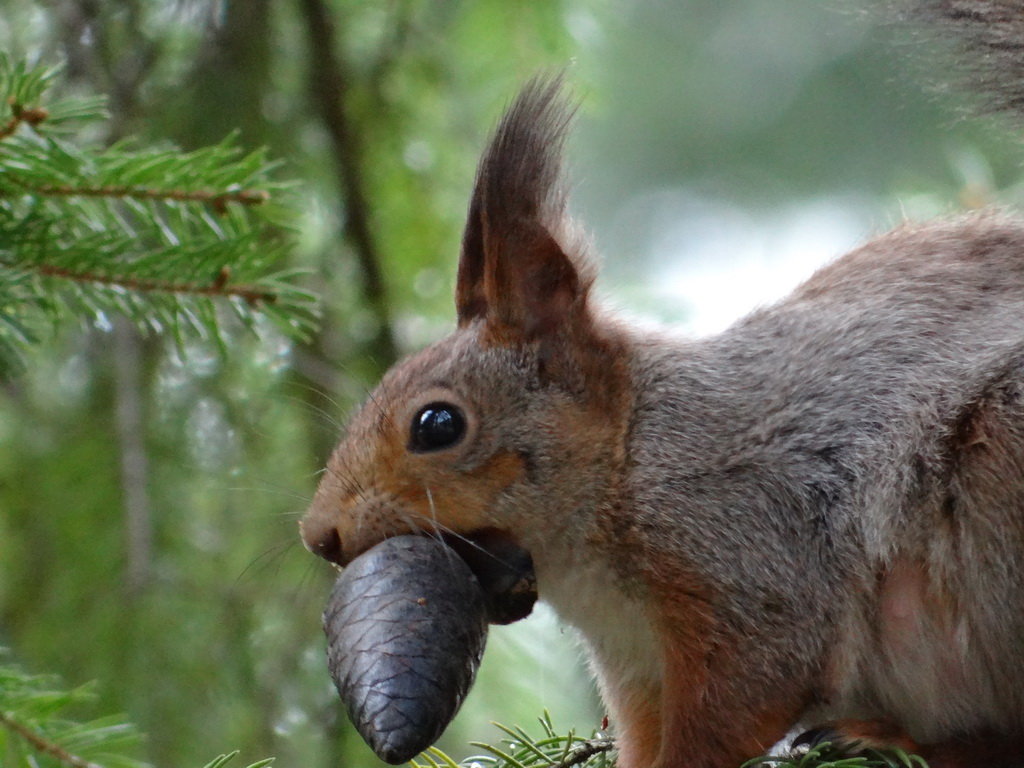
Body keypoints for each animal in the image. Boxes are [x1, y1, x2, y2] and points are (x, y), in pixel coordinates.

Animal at [299, 3, 1024, 765]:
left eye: (437, 424)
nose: (318, 535)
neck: (631, 456)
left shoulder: (751, 553)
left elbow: (742, 697)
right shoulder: (635, 663)